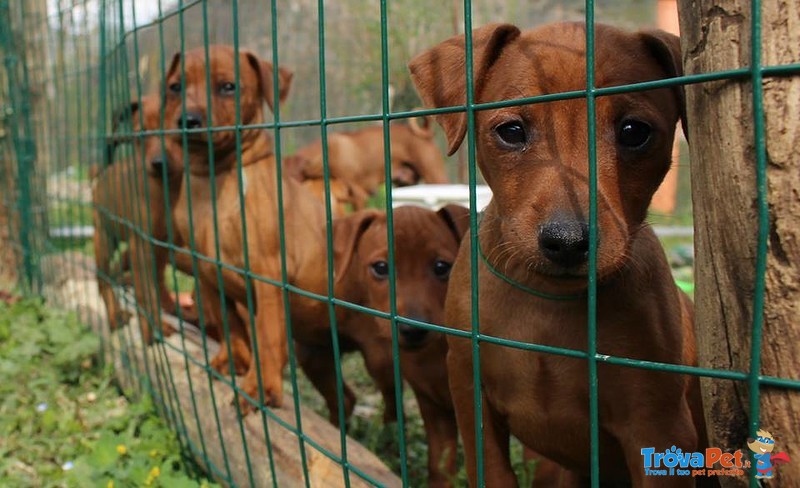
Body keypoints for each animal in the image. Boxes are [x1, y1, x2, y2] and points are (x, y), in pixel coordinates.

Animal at [91, 93, 195, 342]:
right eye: (141, 133)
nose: (158, 164)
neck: (168, 190)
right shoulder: (142, 247)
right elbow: (145, 292)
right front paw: (152, 329)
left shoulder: (163, 246)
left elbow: (157, 286)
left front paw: (167, 313)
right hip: (104, 238)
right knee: (102, 278)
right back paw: (115, 315)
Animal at [410, 21, 704, 484]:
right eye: (511, 131)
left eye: (634, 132)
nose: (568, 241)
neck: (548, 303)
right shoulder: (470, 396)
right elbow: (493, 471)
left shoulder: (659, 429)